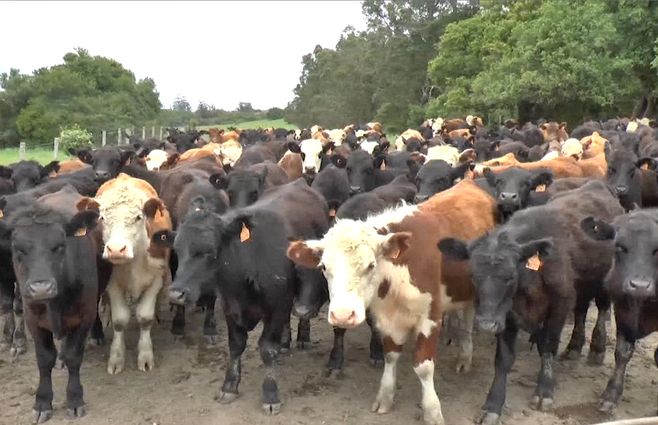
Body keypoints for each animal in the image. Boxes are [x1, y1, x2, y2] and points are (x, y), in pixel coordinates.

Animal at [3, 201, 100, 423]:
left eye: (60, 245)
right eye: (18, 248)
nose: (41, 288)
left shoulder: (86, 314)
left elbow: (74, 355)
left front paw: (74, 399)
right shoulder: (33, 319)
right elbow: (45, 358)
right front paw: (42, 402)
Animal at [77, 173, 172, 374]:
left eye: (138, 217)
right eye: (102, 218)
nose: (116, 250)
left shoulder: (157, 279)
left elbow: (145, 317)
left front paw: (145, 356)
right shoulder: (112, 284)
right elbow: (120, 320)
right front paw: (116, 358)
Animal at [287, 179, 499, 425]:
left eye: (371, 265)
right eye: (323, 267)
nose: (342, 315)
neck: (397, 278)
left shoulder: (430, 318)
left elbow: (424, 367)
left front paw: (432, 410)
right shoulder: (387, 319)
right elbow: (390, 355)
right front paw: (385, 397)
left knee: (467, 319)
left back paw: (465, 355)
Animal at [438, 180, 623, 425]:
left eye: (510, 276)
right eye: (473, 275)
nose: (486, 324)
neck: (530, 280)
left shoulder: (559, 305)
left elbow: (548, 347)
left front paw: (544, 391)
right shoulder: (506, 315)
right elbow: (503, 359)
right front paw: (493, 404)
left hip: (601, 285)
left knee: (601, 310)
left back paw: (597, 348)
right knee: (581, 311)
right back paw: (574, 346)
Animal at [581, 209, 658, 413]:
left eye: (657, 250)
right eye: (620, 247)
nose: (640, 286)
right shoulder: (623, 310)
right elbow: (622, 352)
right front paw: (611, 393)